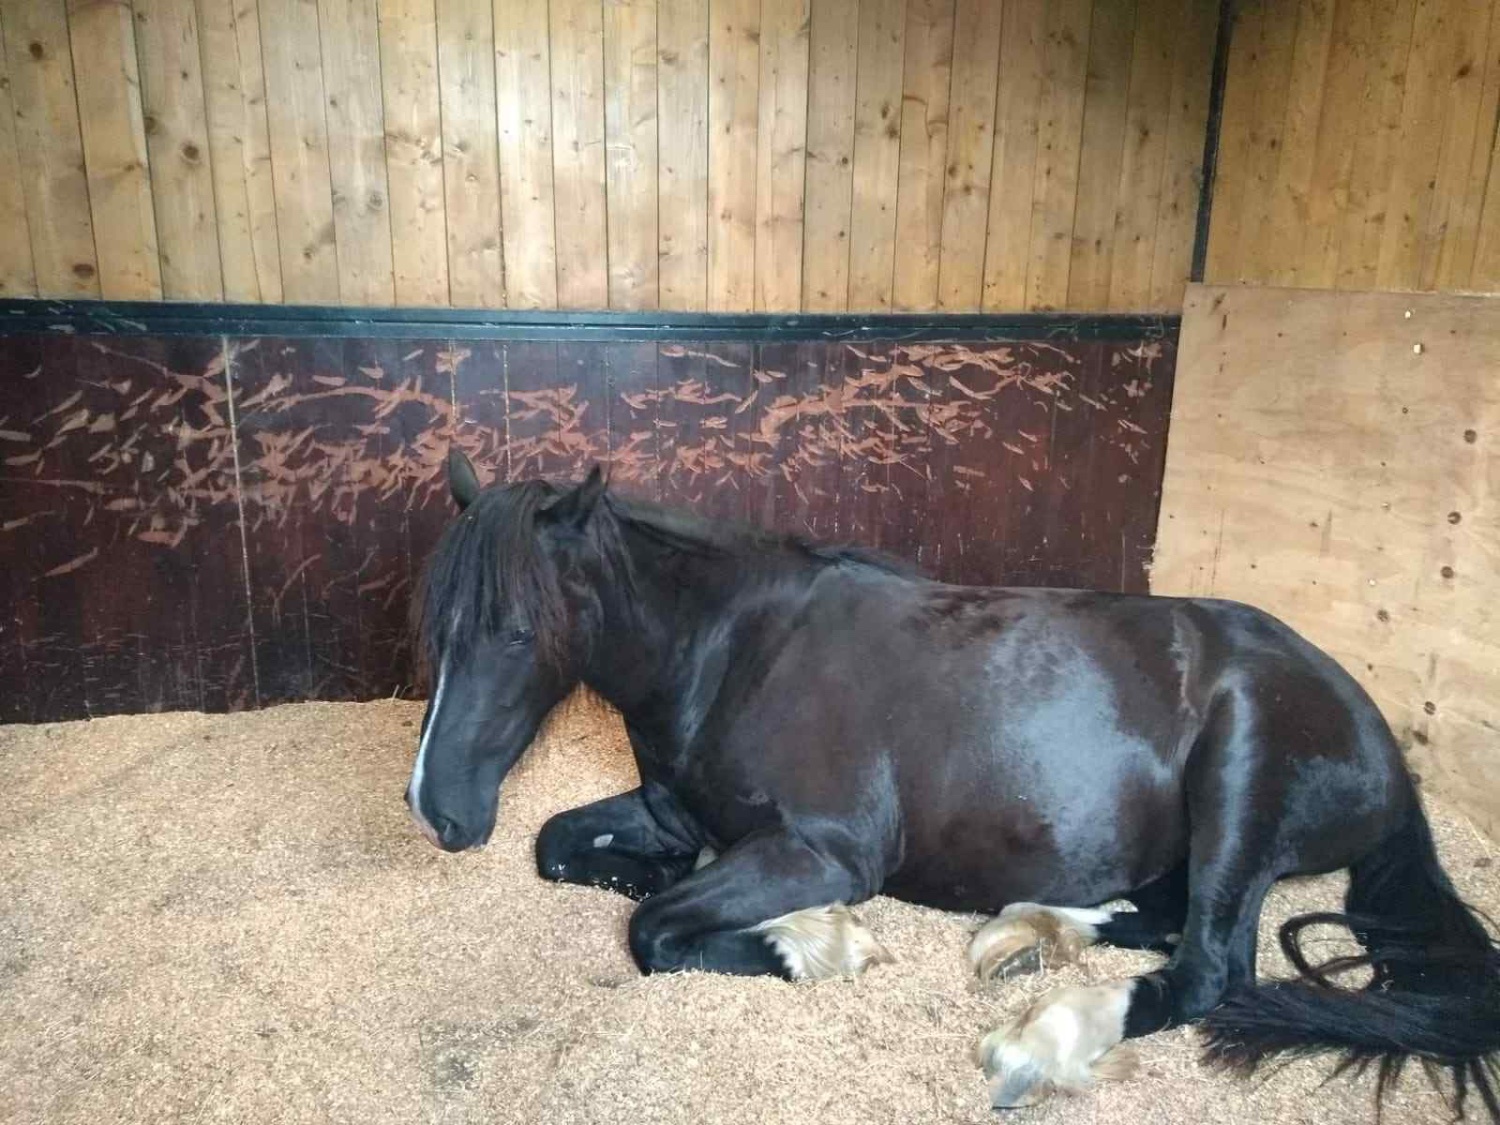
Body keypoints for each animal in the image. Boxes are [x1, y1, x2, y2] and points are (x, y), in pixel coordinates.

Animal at [405, 451, 1500, 1117]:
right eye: (436, 622)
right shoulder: (676, 815)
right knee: (1157, 917)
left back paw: (1042, 1040)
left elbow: (656, 933)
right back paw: (1026, 936)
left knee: (1206, 970)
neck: (735, 650)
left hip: (1239, 778)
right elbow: (564, 849)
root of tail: (1385, 751)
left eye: (516, 630)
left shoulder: (823, 852)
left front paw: (815, 945)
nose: (434, 809)